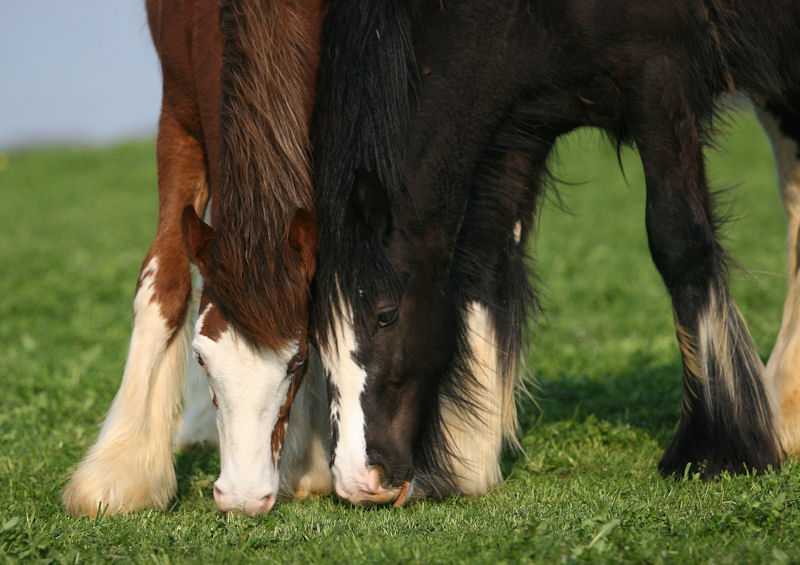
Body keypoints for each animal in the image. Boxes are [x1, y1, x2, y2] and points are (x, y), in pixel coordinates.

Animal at [58, 0, 328, 516]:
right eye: (200, 359)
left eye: (298, 361)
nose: (244, 498)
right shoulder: (179, 113)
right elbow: (163, 281)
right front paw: (122, 470)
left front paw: (315, 462)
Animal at [310, 0, 796, 502]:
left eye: (385, 315)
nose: (358, 481)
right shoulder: (525, 120)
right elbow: (483, 261)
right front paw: (466, 457)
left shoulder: (662, 78)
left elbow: (678, 240)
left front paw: (718, 449)